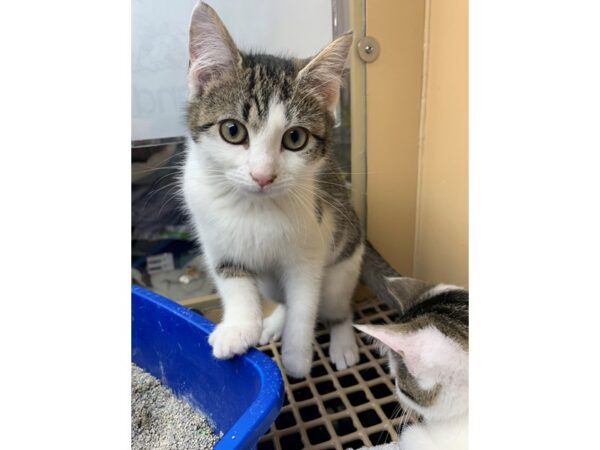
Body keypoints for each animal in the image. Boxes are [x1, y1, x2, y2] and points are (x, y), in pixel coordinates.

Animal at [180, 1, 364, 378]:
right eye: (232, 130)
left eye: (295, 138)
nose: (262, 175)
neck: (254, 207)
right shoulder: (216, 241)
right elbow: (233, 281)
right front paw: (238, 330)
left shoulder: (311, 249)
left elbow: (304, 304)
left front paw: (296, 357)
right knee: (281, 299)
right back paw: (274, 321)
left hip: (344, 266)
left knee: (336, 306)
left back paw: (341, 340)